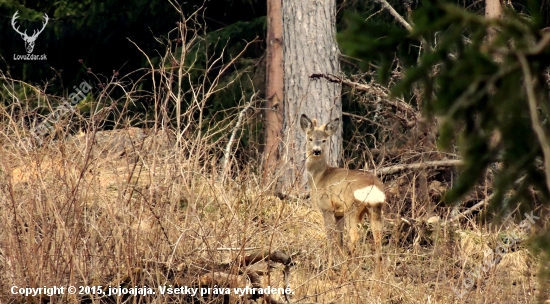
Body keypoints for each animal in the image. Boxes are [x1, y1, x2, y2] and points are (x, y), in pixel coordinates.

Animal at [302, 114, 388, 278]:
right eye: (310, 138)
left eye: (324, 140)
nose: (316, 151)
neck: (319, 177)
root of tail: (372, 185)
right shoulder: (338, 213)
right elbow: (339, 239)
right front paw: (340, 268)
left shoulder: (327, 208)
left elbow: (331, 238)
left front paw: (329, 271)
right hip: (376, 208)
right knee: (378, 238)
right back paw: (376, 278)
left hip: (352, 208)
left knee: (354, 237)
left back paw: (353, 275)